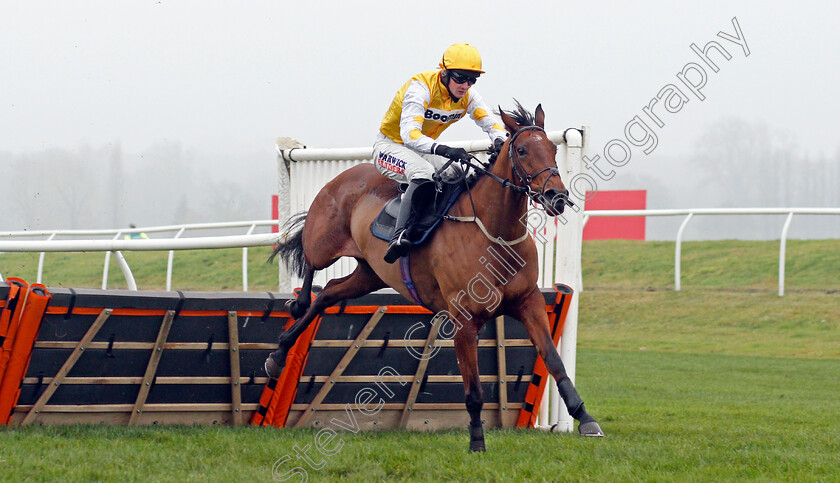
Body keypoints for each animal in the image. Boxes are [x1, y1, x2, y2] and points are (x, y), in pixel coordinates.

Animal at [266, 104, 600, 452]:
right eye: (522, 150)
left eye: (552, 149)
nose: (556, 195)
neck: (496, 234)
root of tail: (343, 177)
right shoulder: (464, 318)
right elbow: (474, 391)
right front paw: (476, 441)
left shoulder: (528, 302)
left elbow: (554, 360)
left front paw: (584, 416)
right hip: (325, 243)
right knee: (310, 264)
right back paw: (294, 311)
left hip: (369, 274)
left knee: (329, 292)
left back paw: (278, 354)